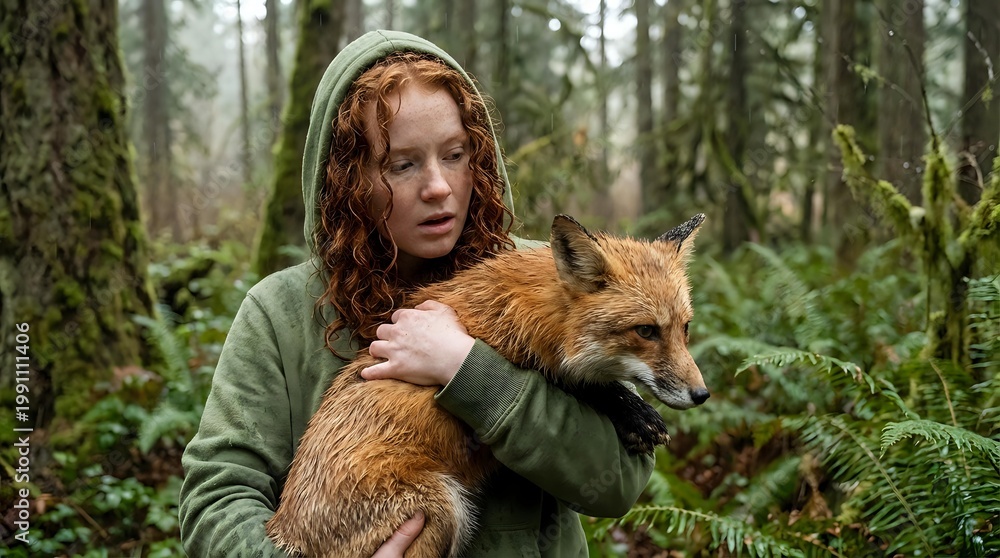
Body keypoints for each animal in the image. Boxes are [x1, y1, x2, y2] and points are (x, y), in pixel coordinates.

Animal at [266, 213, 709, 557]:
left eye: (685, 328)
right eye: (646, 331)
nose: (702, 394)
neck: (534, 312)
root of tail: (284, 529)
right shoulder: (528, 355)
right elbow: (582, 385)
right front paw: (637, 414)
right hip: (442, 508)